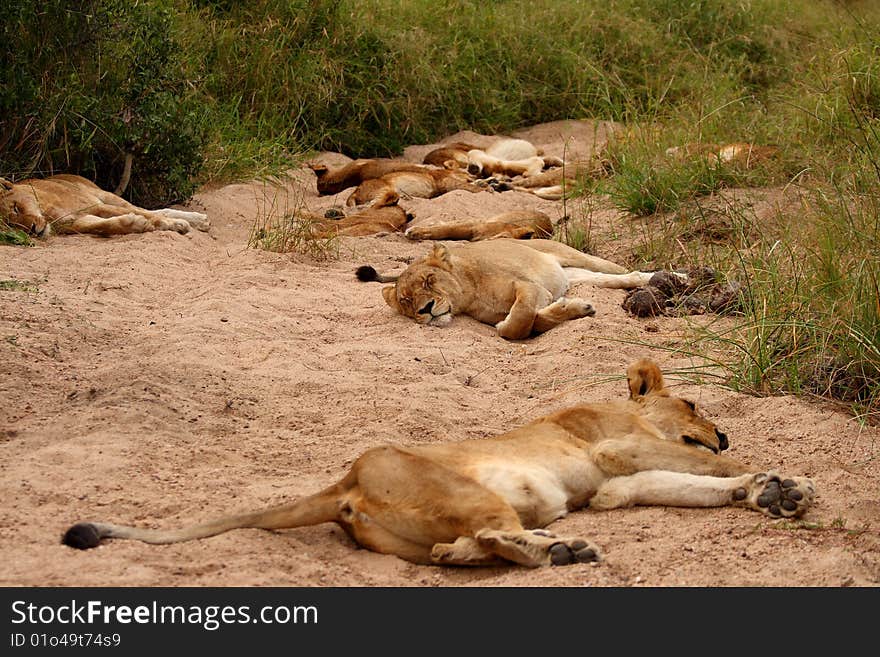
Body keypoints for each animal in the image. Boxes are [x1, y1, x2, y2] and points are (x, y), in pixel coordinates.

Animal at [0, 173, 209, 237]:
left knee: (146, 208)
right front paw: (137, 224)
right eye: (10, 225)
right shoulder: (76, 222)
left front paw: (176, 225)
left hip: (103, 194)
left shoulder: (93, 207)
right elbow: (103, 226)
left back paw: (198, 220)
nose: (32, 230)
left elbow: (150, 215)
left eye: (16, 207)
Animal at [63, 356, 820, 568]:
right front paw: (771, 474)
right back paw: (562, 550)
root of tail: (347, 480)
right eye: (693, 401)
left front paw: (770, 490)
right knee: (479, 537)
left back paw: (553, 546)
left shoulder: (619, 482)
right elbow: (693, 466)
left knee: (453, 551)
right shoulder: (612, 445)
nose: (723, 432)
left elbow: (685, 483)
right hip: (469, 492)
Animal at [358, 237, 672, 338]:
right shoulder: (542, 293)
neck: (470, 295)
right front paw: (574, 308)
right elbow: (533, 320)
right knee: (623, 278)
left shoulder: (529, 287)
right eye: (406, 300)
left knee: (620, 268)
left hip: (576, 256)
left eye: (429, 280)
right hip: (577, 276)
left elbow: (519, 320)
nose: (426, 309)